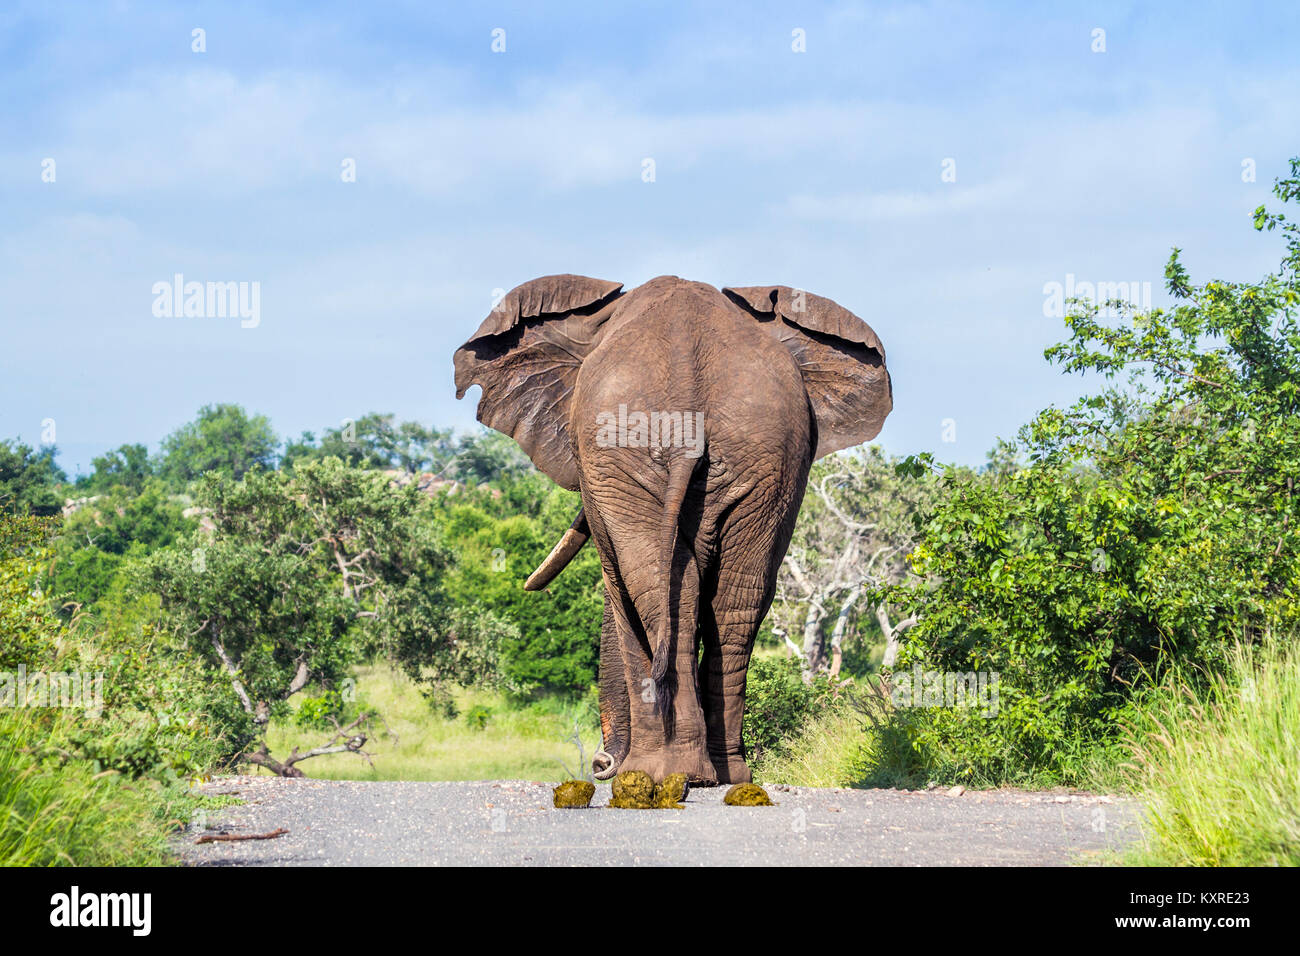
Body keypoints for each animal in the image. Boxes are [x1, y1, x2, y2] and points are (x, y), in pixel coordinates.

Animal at [452, 274, 889, 785]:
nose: (600, 764)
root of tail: (688, 399)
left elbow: (618, 580)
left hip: (624, 458)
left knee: (646, 582)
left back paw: (663, 772)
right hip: (768, 454)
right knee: (737, 597)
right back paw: (726, 775)